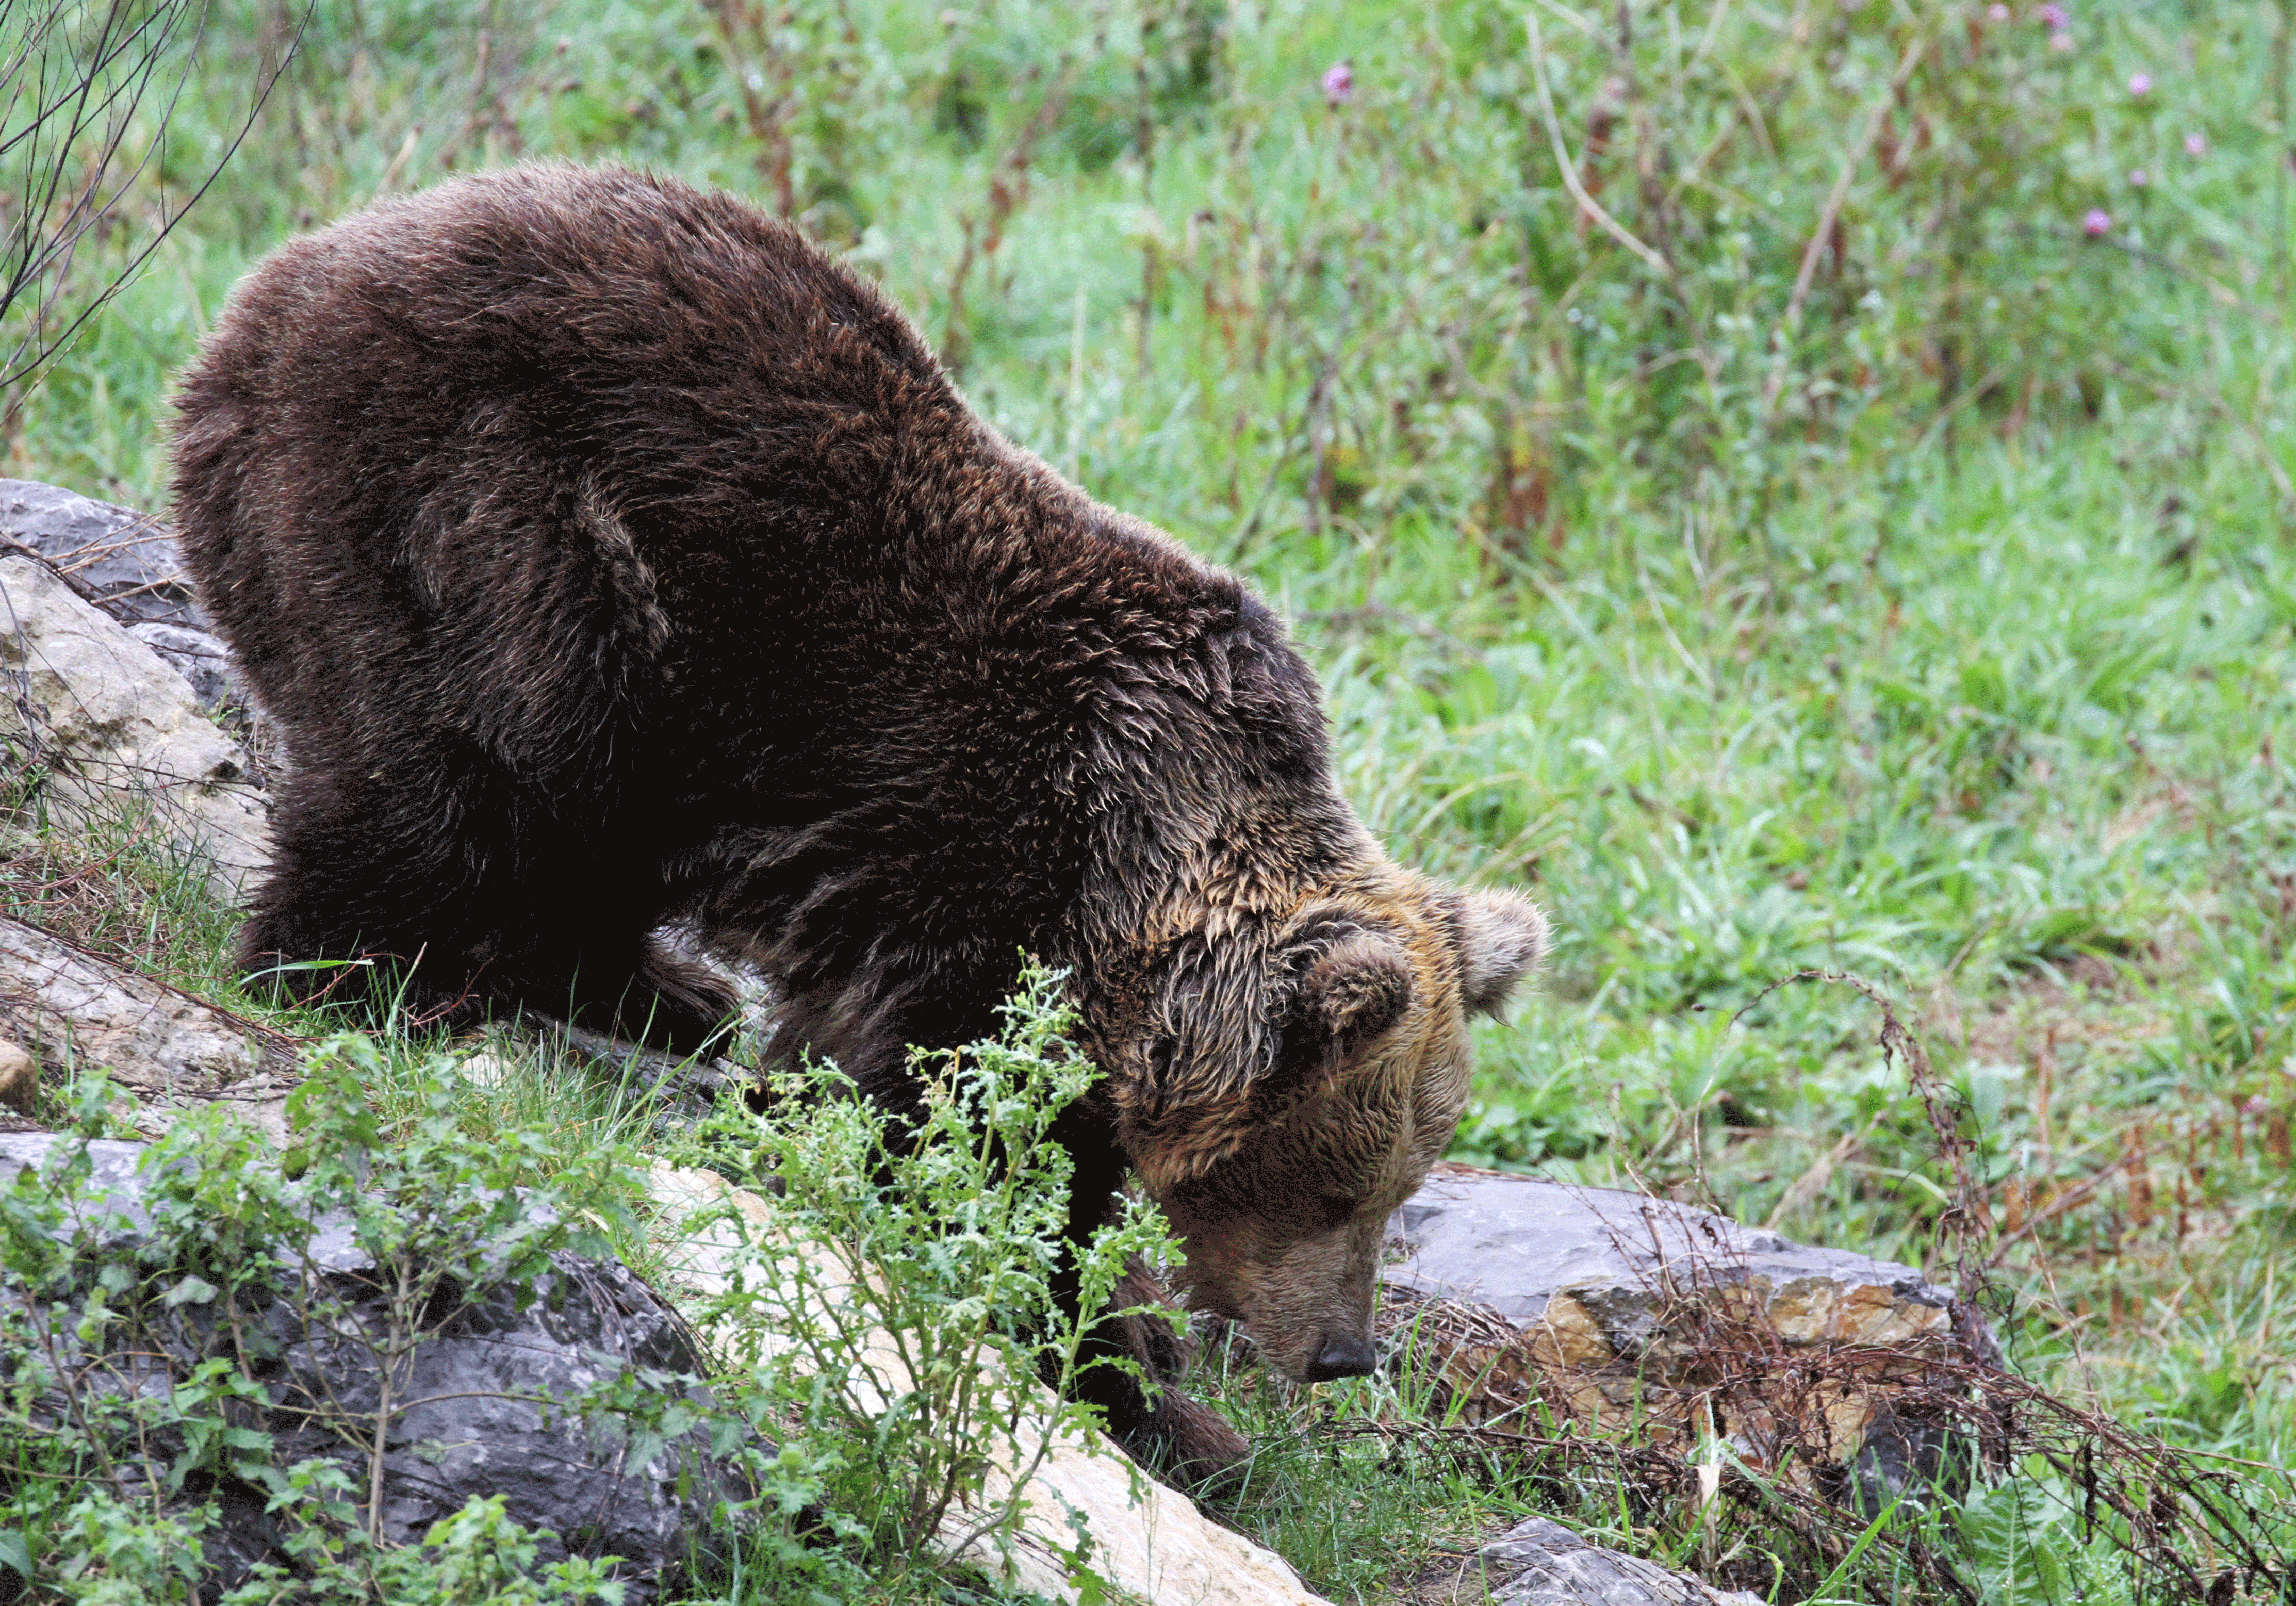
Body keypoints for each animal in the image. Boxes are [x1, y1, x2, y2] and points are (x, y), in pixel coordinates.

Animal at [174, 163, 1543, 1479]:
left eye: (1405, 1179)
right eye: (1332, 1184)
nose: (1343, 1353)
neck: (1137, 871)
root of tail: (285, 276)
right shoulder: (977, 869)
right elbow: (953, 1152)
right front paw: (1155, 1400)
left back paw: (663, 990)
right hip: (477, 512)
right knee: (451, 771)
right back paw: (348, 970)